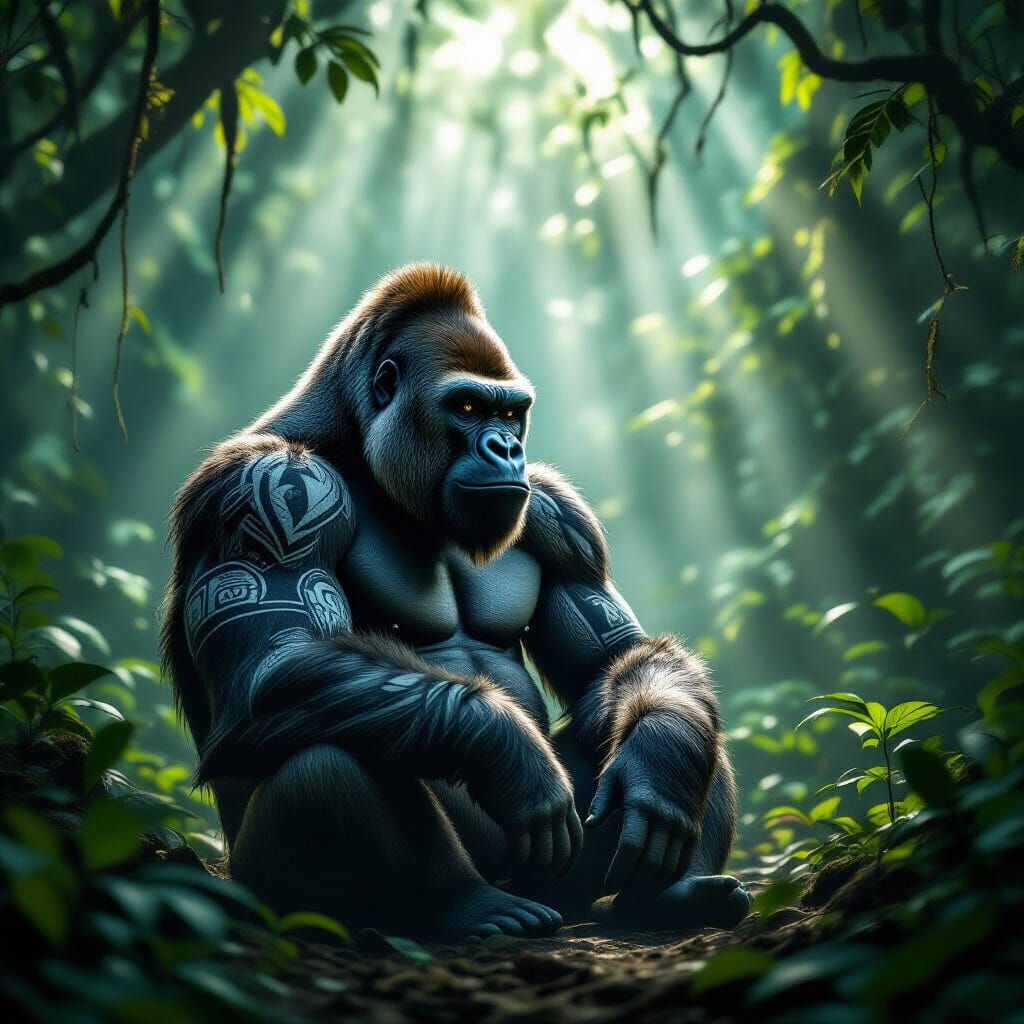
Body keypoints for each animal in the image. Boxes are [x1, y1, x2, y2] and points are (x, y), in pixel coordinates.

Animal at [161, 263, 750, 941]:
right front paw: (507, 748)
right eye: (466, 407)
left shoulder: (558, 512)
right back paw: (468, 905)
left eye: (511, 412)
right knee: (328, 745)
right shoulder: (262, 491)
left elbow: (617, 661)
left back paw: (668, 893)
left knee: (670, 710)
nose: (506, 449)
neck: (352, 445)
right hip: (262, 892)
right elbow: (280, 662)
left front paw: (660, 756)